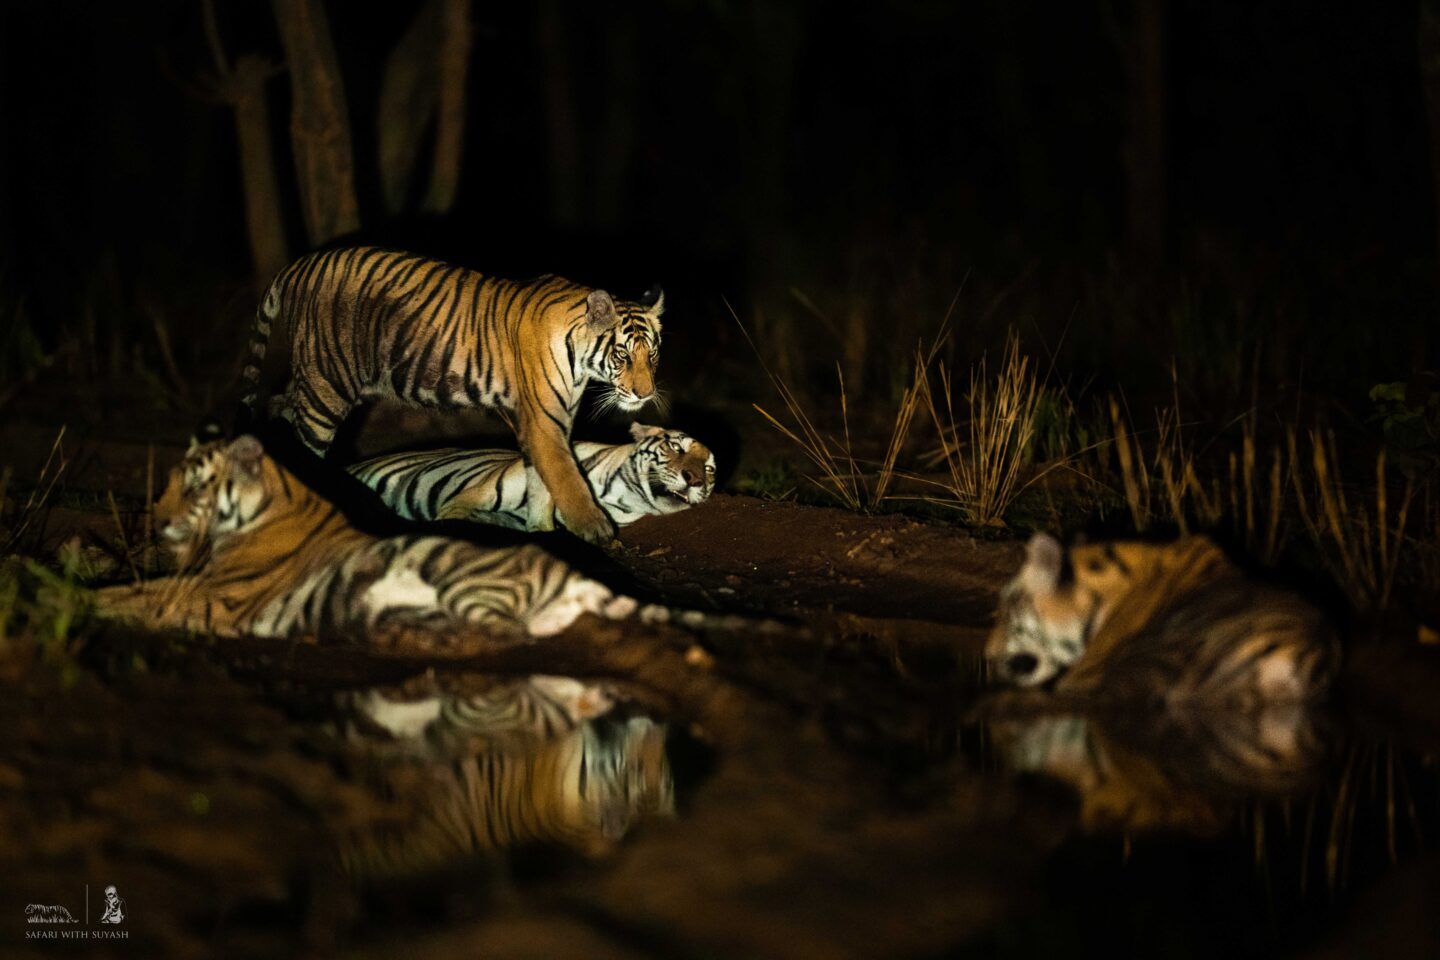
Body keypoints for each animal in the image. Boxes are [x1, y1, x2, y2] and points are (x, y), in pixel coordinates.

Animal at [91, 431, 668, 641]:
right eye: (168, 483)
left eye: (192, 488)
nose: (155, 519)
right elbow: (129, 590)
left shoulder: (211, 595)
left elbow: (131, 597)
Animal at [241, 244, 662, 544]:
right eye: (623, 355)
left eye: (653, 355)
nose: (644, 394)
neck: (580, 362)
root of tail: (301, 264)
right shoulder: (544, 424)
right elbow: (567, 479)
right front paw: (596, 531)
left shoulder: (542, 424)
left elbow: (540, 486)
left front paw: (541, 531)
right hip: (327, 387)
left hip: (315, 381)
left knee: (279, 406)